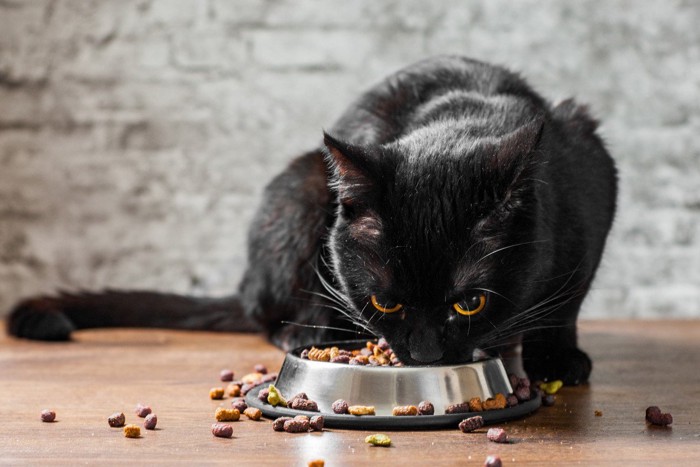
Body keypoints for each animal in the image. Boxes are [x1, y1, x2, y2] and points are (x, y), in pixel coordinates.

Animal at [8, 57, 616, 388]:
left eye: (469, 302)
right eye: (386, 302)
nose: (424, 355)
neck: (461, 119)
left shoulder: (592, 175)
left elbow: (564, 304)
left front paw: (557, 358)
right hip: (303, 186)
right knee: (268, 309)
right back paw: (308, 331)